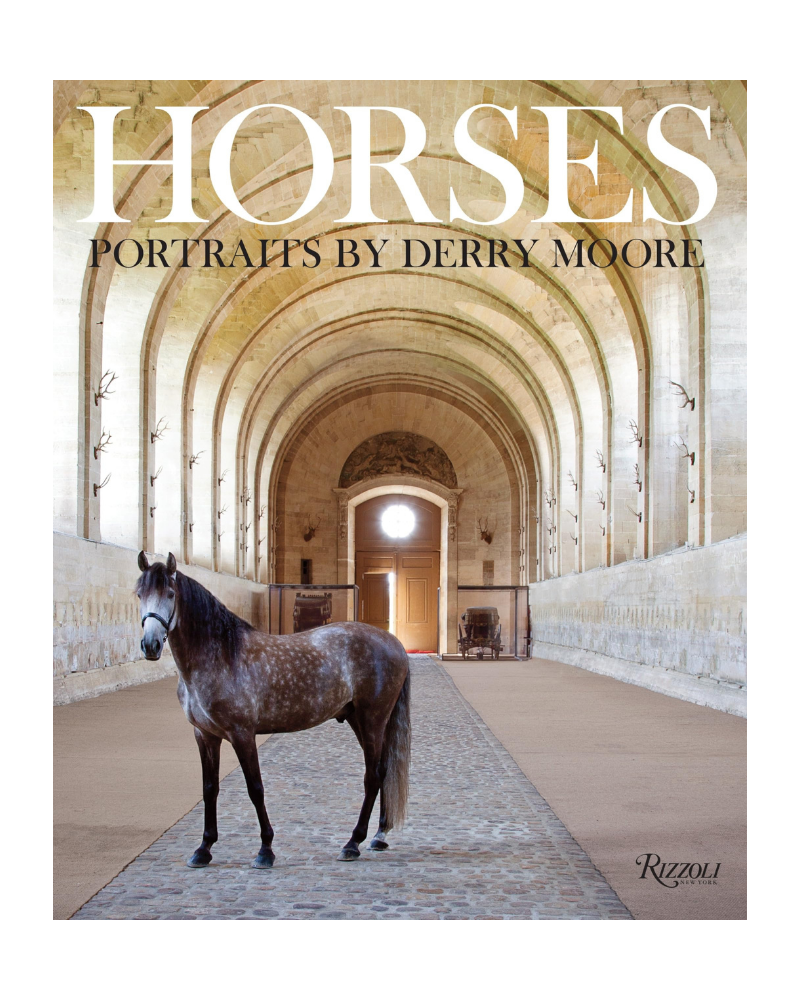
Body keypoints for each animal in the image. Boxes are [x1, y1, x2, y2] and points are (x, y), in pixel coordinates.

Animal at [135, 551, 410, 869]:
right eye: (139, 594)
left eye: (170, 593)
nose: (150, 645)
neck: (221, 654)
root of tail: (394, 643)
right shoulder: (205, 735)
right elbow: (209, 789)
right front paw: (204, 849)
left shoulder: (242, 734)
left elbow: (255, 788)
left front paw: (265, 849)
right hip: (359, 719)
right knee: (383, 771)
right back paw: (379, 835)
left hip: (372, 720)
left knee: (373, 776)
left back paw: (353, 843)